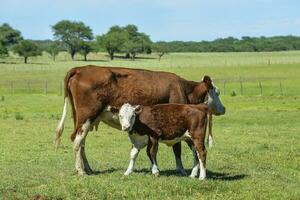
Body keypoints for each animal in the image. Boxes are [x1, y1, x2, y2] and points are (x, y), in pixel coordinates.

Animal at [54, 65, 225, 175]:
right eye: (217, 92)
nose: (223, 109)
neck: (183, 88)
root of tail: (80, 69)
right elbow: (177, 148)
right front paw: (181, 170)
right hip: (86, 117)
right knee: (77, 140)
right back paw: (81, 171)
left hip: (83, 120)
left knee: (81, 142)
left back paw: (87, 168)